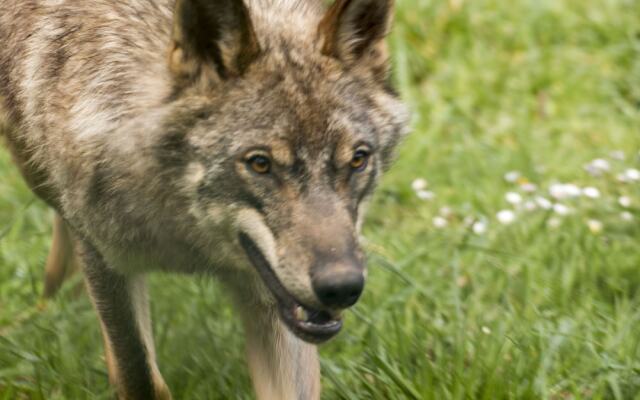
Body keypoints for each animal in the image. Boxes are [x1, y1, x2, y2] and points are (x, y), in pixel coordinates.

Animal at [0, 0, 408, 398]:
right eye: (259, 164)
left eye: (358, 159)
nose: (342, 287)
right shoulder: (105, 260)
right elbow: (139, 378)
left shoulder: (272, 300)